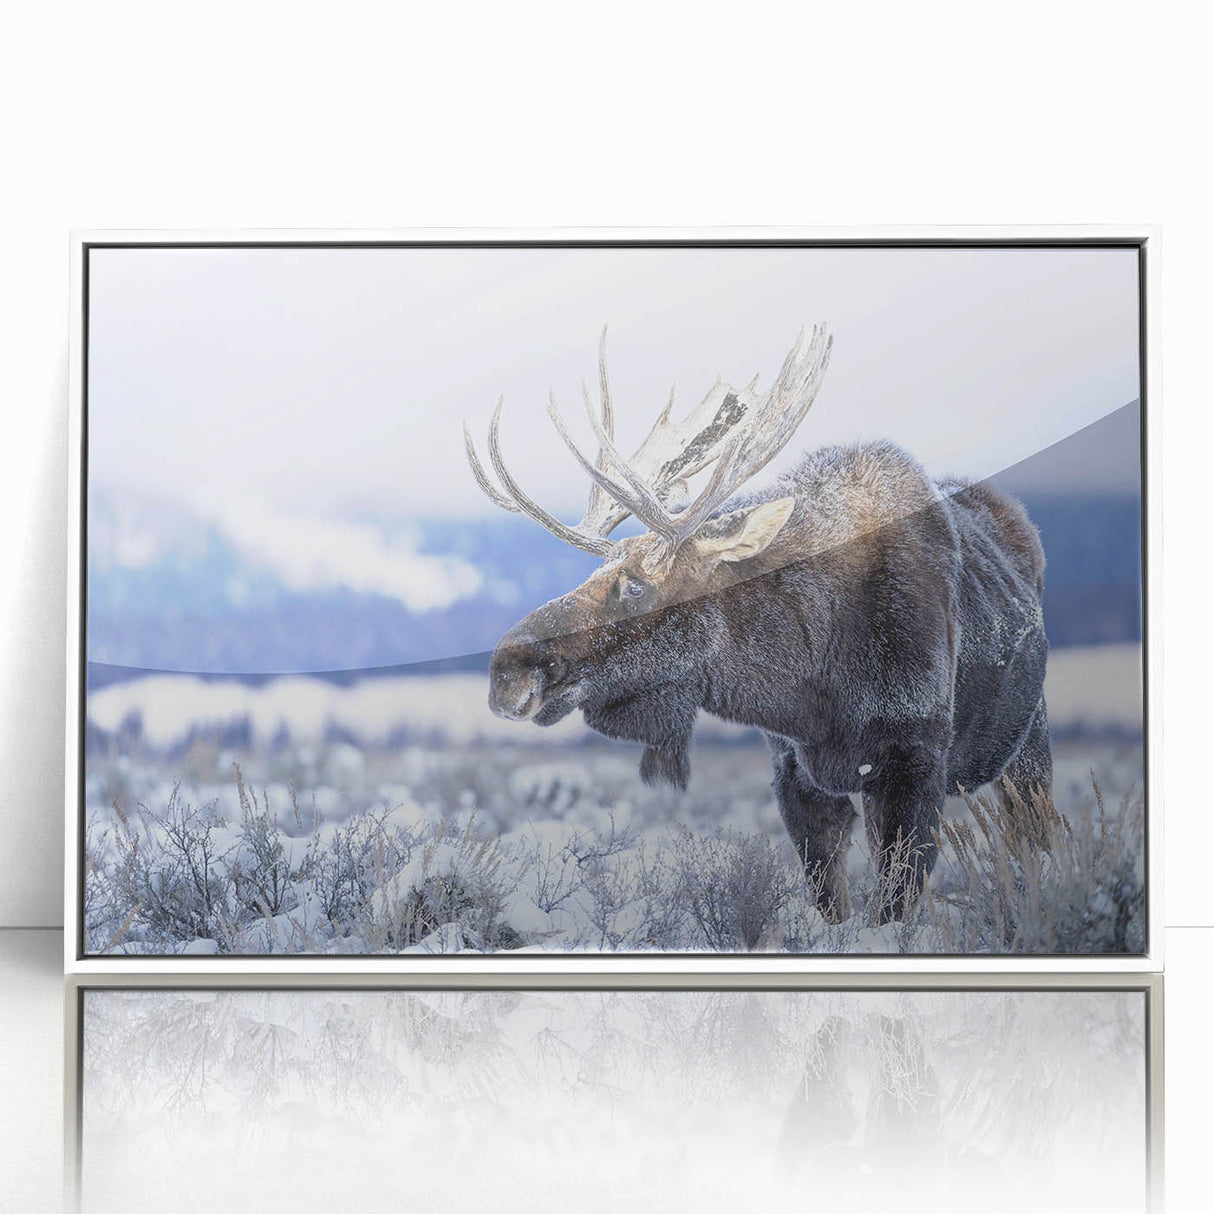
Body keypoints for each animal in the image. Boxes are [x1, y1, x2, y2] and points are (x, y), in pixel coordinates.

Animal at [463, 327, 1052, 922]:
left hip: (1028, 745)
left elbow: (895, 907)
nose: (506, 671)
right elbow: (831, 904)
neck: (813, 685)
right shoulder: (795, 773)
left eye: (635, 585)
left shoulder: (914, 763)